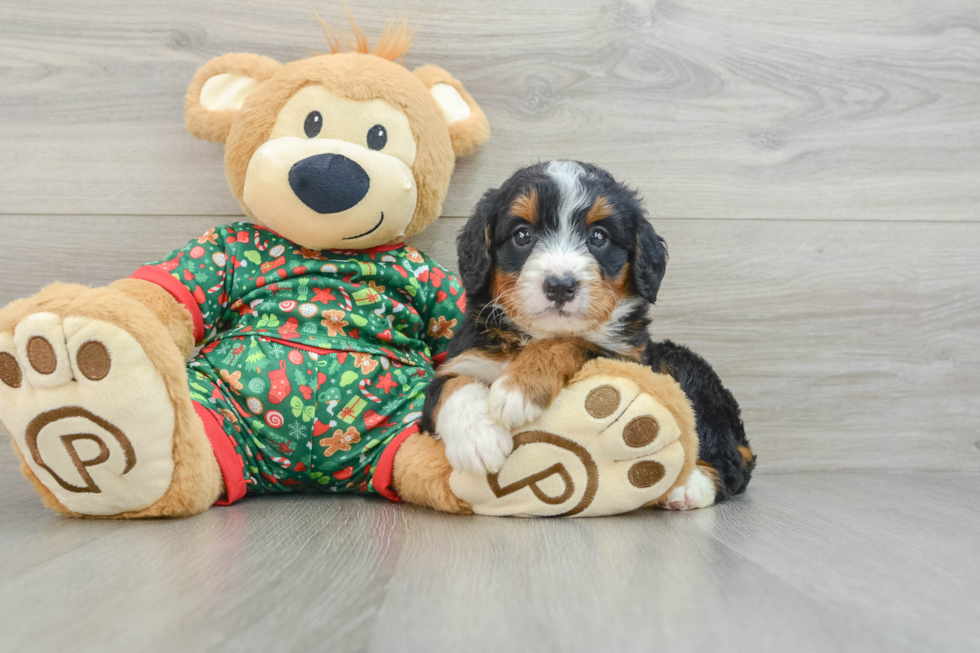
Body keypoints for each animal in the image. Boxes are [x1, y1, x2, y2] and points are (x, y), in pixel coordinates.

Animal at [424, 159, 756, 510]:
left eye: (598, 236)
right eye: (522, 234)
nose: (560, 285)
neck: (534, 335)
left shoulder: (625, 358)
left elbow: (573, 341)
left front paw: (520, 387)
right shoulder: (466, 359)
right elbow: (451, 385)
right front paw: (477, 439)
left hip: (685, 368)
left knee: (733, 461)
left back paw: (689, 486)